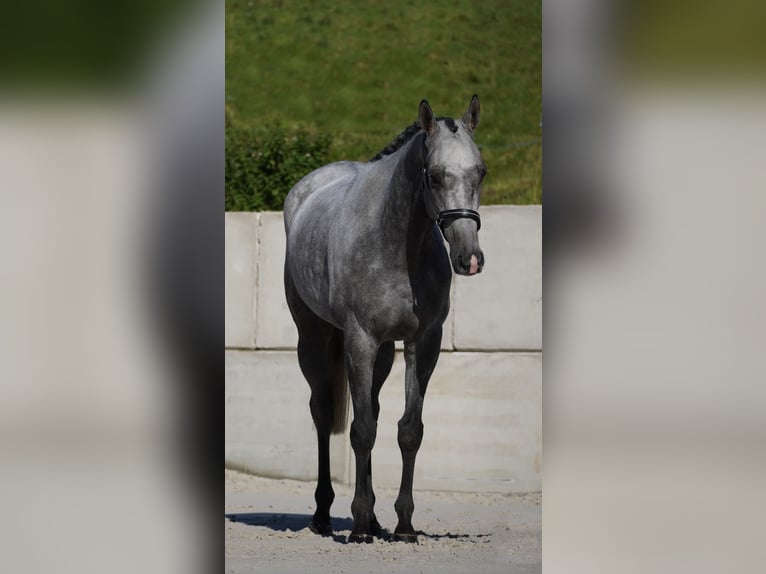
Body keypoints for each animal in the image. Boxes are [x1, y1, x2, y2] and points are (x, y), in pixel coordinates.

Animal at [284, 94, 488, 544]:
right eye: (434, 176)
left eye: (480, 172)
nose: (469, 258)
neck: (396, 244)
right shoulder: (359, 339)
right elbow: (360, 430)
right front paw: (359, 525)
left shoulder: (422, 343)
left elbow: (407, 430)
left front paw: (403, 524)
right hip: (314, 340)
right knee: (323, 412)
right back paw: (324, 514)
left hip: (381, 355)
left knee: (373, 410)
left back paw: (376, 519)